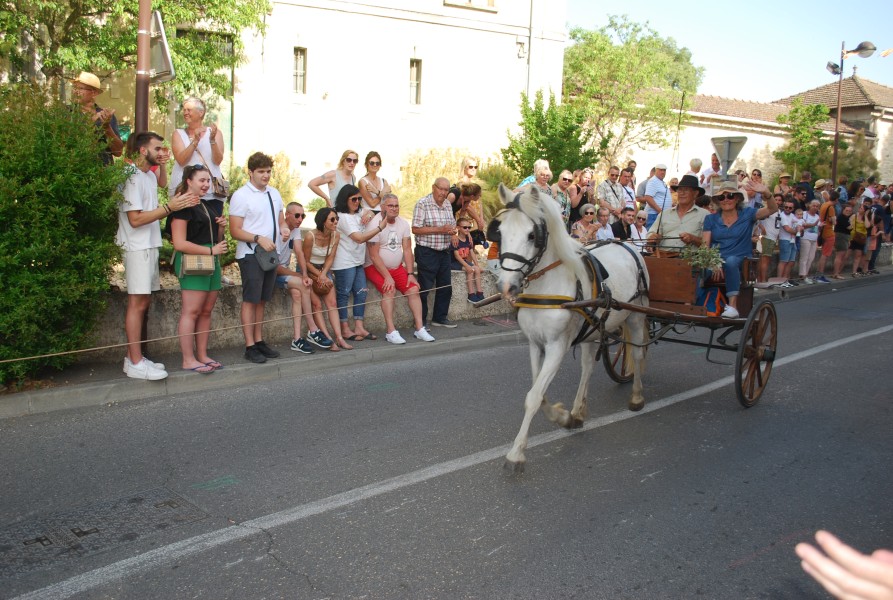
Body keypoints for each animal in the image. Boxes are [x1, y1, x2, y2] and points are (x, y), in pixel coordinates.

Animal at [488, 180, 648, 472]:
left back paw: (636, 397)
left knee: (638, 353)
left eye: (532, 235)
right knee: (587, 368)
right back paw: (577, 412)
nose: (506, 286)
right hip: (593, 331)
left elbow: (533, 397)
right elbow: (538, 393)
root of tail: (628, 246)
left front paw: (516, 453)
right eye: (500, 233)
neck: (546, 287)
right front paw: (561, 416)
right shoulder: (535, 345)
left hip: (636, 316)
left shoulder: (556, 346)